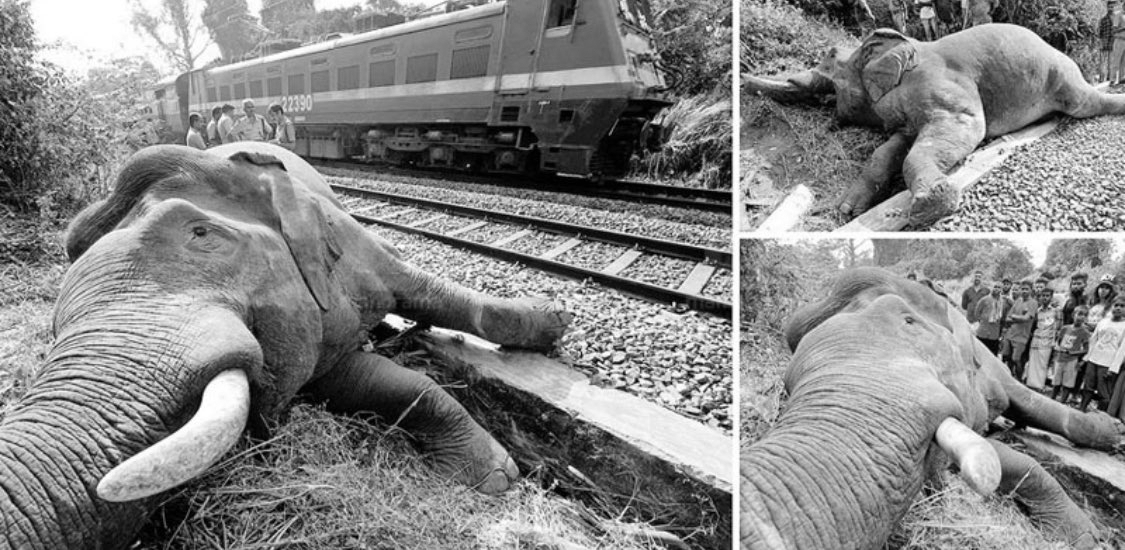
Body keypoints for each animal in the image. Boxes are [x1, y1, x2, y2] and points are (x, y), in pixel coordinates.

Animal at [0, 142, 572, 549]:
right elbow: (365, 381)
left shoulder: (343, 243)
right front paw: (493, 475)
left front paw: (553, 320)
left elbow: (426, 290)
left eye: (200, 234)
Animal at [741, 267, 1125, 550]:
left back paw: (1112, 431)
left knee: (1025, 399)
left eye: (908, 321)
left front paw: (1087, 540)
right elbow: (997, 458)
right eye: (789, 385)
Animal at [743, 24, 1125, 226]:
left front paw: (931, 205)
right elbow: (891, 148)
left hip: (1062, 75)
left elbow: (967, 127)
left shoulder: (941, 83)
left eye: (830, 56)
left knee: (1084, 102)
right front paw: (847, 210)